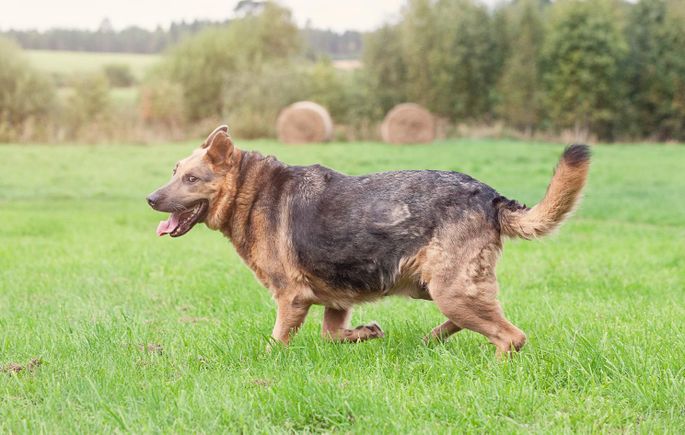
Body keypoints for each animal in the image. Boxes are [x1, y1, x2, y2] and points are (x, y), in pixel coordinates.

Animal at [147, 126, 592, 358]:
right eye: (173, 171)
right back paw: (433, 339)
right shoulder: (335, 303)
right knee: (485, 318)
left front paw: (268, 361)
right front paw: (366, 333)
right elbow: (333, 334)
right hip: (437, 287)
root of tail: (491, 196)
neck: (251, 193)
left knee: (511, 336)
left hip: (450, 290)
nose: (150, 199)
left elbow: (276, 342)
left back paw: (493, 365)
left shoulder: (291, 298)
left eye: (191, 179)